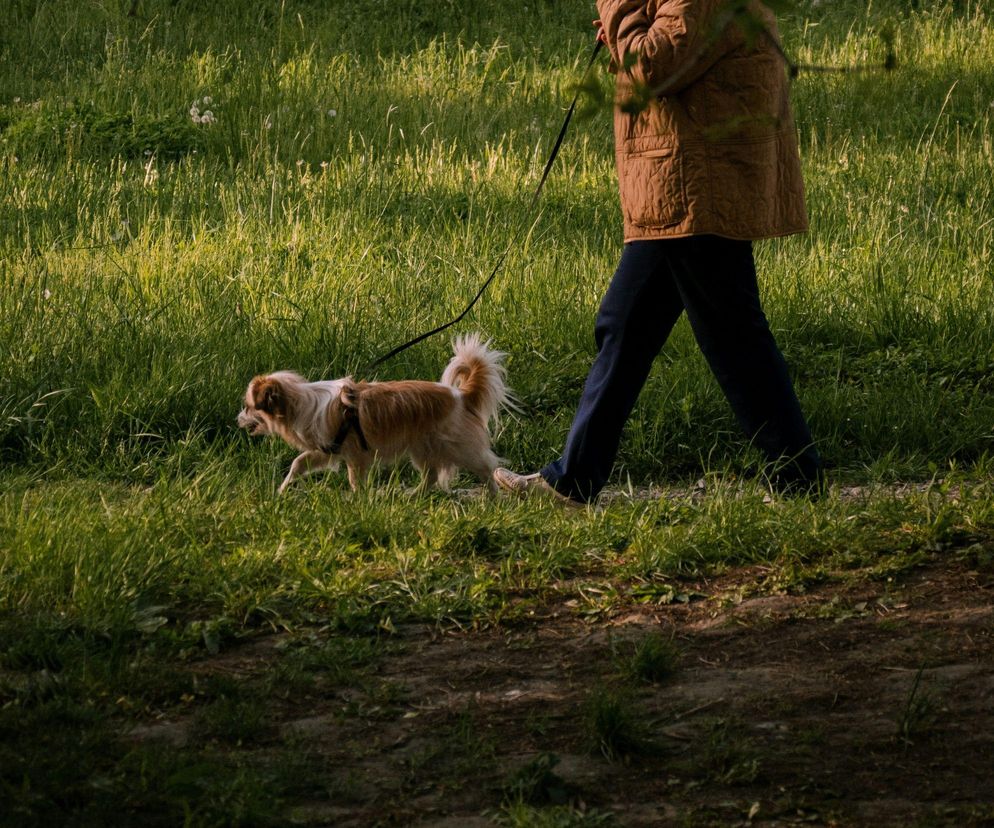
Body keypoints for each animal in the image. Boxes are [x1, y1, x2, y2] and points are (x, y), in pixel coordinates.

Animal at [235, 334, 508, 494]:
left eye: (248, 407)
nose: (237, 419)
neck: (301, 402)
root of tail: (461, 396)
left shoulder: (355, 456)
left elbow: (355, 480)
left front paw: (358, 501)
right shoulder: (326, 450)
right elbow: (298, 463)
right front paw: (282, 490)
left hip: (458, 446)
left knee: (487, 467)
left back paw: (494, 498)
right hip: (422, 448)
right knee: (430, 475)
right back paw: (415, 497)